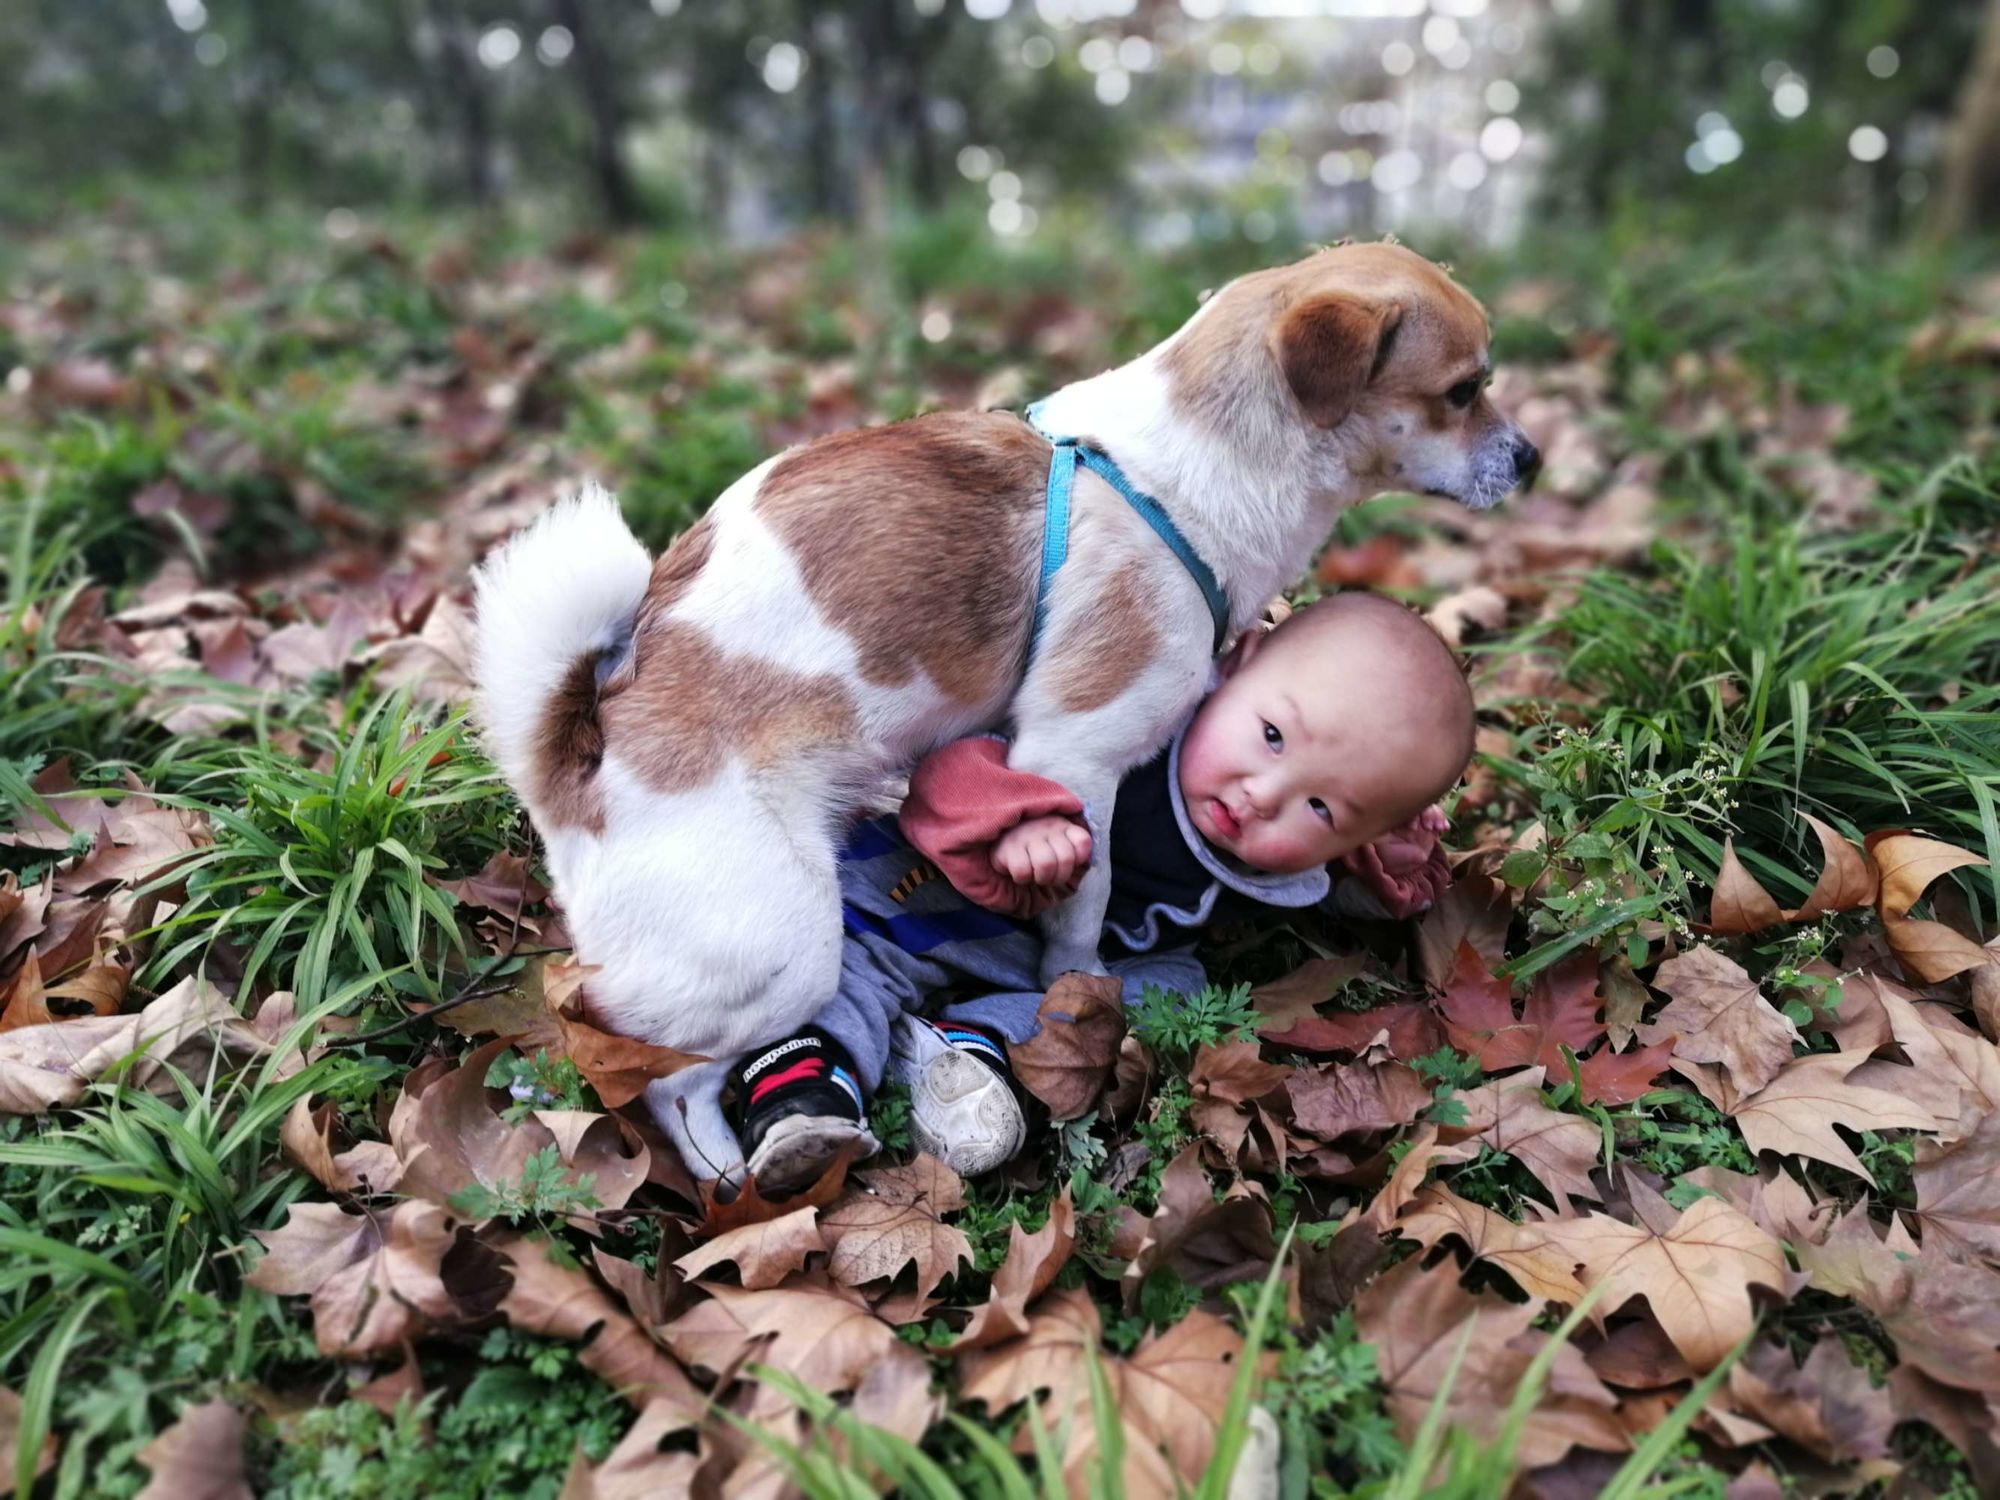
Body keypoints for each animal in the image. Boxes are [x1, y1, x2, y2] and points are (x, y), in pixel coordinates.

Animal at [476, 241, 1536, 1184]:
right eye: (1462, 390)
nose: (1529, 459)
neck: (1185, 478)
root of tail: (578, 756)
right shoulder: (1076, 753)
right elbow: (1083, 907)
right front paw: (1078, 981)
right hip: (781, 944)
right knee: (664, 1078)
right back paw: (732, 1161)